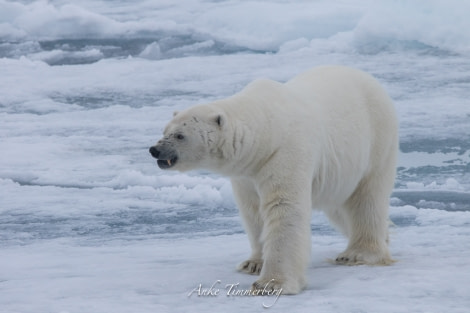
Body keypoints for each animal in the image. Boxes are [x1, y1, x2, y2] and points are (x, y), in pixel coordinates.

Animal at [150, 64, 396, 294]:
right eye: (164, 130)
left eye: (180, 135)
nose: (155, 150)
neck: (265, 131)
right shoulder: (246, 174)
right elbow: (253, 211)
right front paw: (253, 264)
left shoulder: (285, 153)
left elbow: (283, 208)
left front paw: (270, 283)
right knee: (339, 206)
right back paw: (384, 238)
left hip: (376, 142)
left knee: (366, 199)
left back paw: (358, 254)